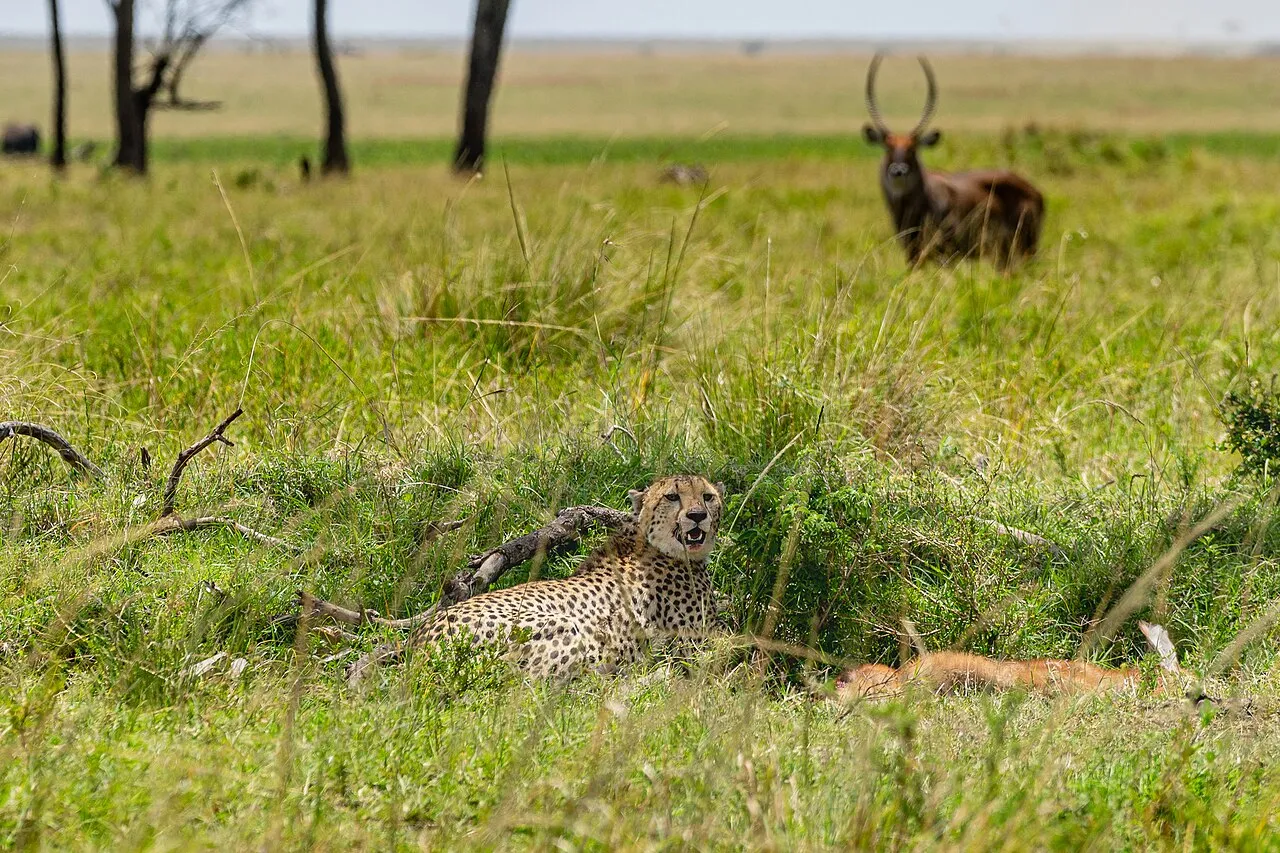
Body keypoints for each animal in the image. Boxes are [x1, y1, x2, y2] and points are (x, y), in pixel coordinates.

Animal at [410, 474, 725, 678]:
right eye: (672, 496)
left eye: (707, 497)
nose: (698, 515)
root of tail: (419, 648)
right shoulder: (696, 646)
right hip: (563, 627)